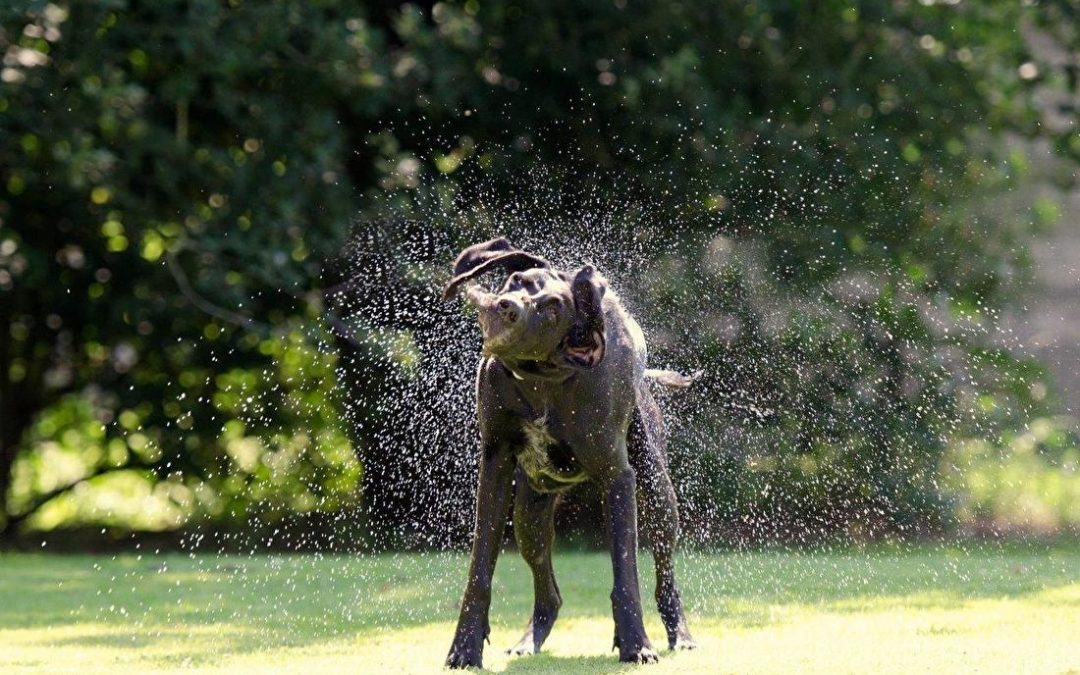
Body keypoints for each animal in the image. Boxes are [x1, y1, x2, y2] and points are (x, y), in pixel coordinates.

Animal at [442, 238, 695, 669]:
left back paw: (680, 634)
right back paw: (528, 640)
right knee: (550, 593)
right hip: (529, 516)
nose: (506, 306)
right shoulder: (494, 467)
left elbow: (626, 575)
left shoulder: (617, 476)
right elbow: (479, 572)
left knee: (665, 576)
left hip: (659, 497)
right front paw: (464, 647)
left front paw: (636, 644)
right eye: (516, 279)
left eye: (552, 308)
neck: (541, 381)